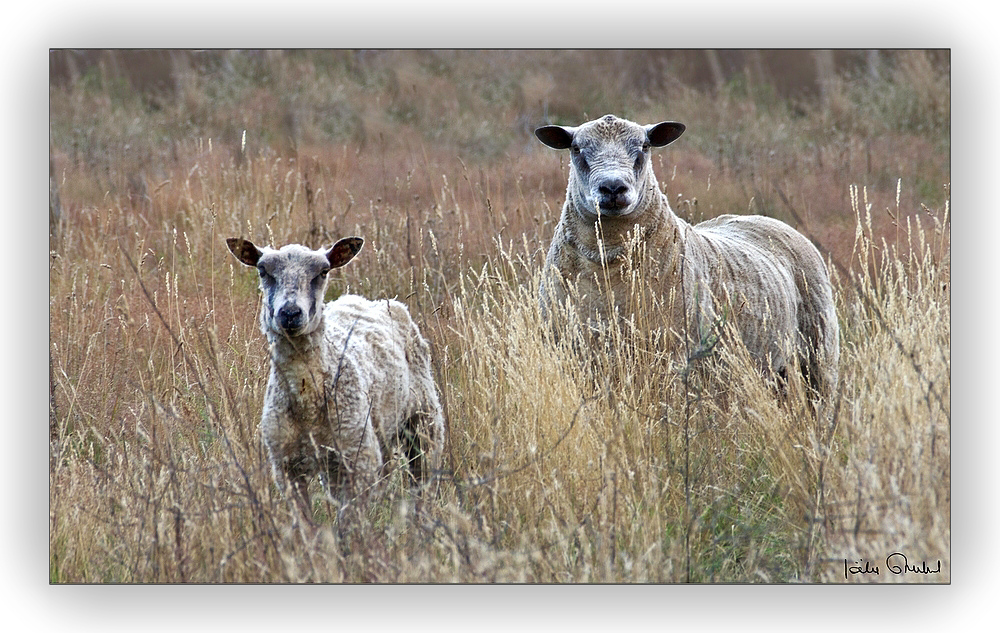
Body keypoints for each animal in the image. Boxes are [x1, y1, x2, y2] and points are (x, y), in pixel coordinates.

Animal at [229, 235, 448, 516]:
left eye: (323, 272)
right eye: (262, 270)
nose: (290, 313)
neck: (307, 401)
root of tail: (369, 300)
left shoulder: (358, 461)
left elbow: (349, 521)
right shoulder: (286, 467)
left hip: (423, 420)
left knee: (423, 479)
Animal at [536, 113, 840, 396]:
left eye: (644, 147)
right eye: (576, 149)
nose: (613, 188)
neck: (609, 271)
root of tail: (769, 220)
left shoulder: (673, 355)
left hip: (818, 358)